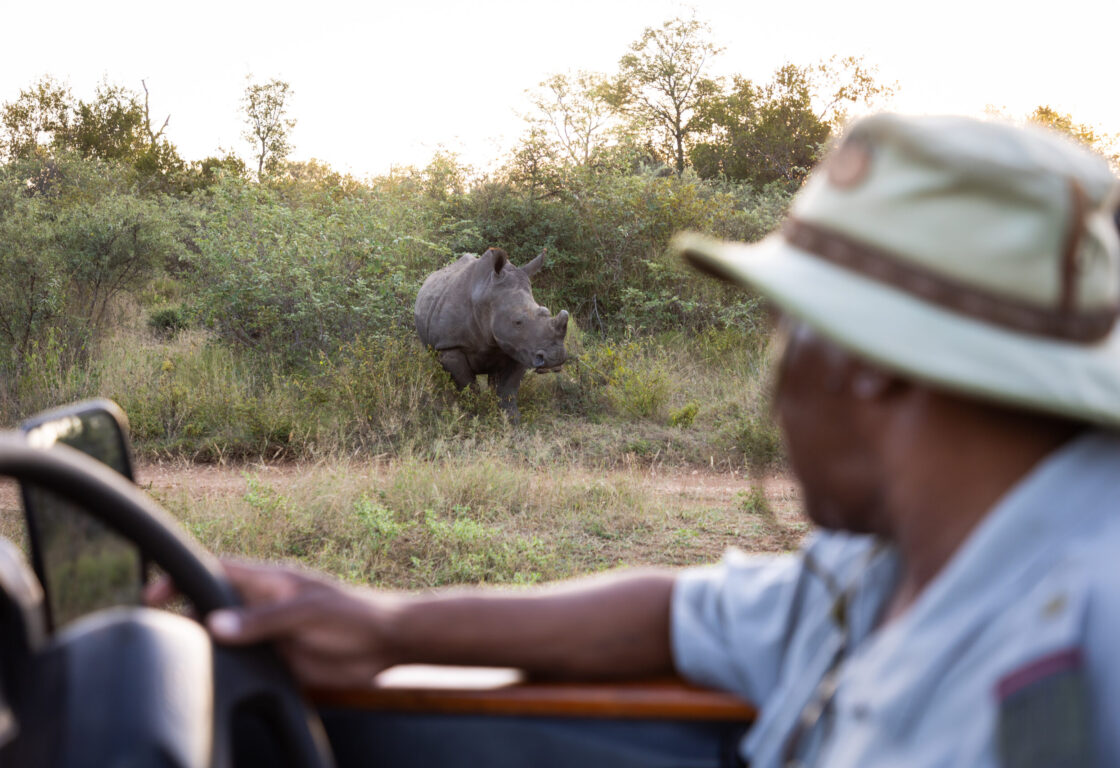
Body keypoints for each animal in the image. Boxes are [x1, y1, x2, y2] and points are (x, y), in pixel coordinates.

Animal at [415, 247, 569, 422]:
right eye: (517, 322)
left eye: (546, 312)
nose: (555, 357)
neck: (486, 298)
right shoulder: (450, 346)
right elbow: (468, 386)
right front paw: (471, 417)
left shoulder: (521, 348)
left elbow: (508, 388)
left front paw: (511, 419)